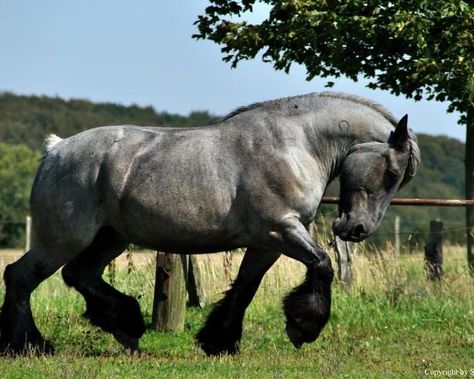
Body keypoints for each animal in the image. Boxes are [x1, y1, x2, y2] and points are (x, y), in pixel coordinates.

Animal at [0, 92, 420, 356]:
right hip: (63, 239)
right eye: (391, 172)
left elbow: (245, 289)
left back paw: (126, 327)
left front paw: (219, 341)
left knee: (79, 275)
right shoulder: (282, 231)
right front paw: (303, 328)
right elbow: (323, 264)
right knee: (20, 277)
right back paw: (28, 345)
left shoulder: (266, 243)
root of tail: (55, 150)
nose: (356, 230)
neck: (295, 144)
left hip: (109, 238)